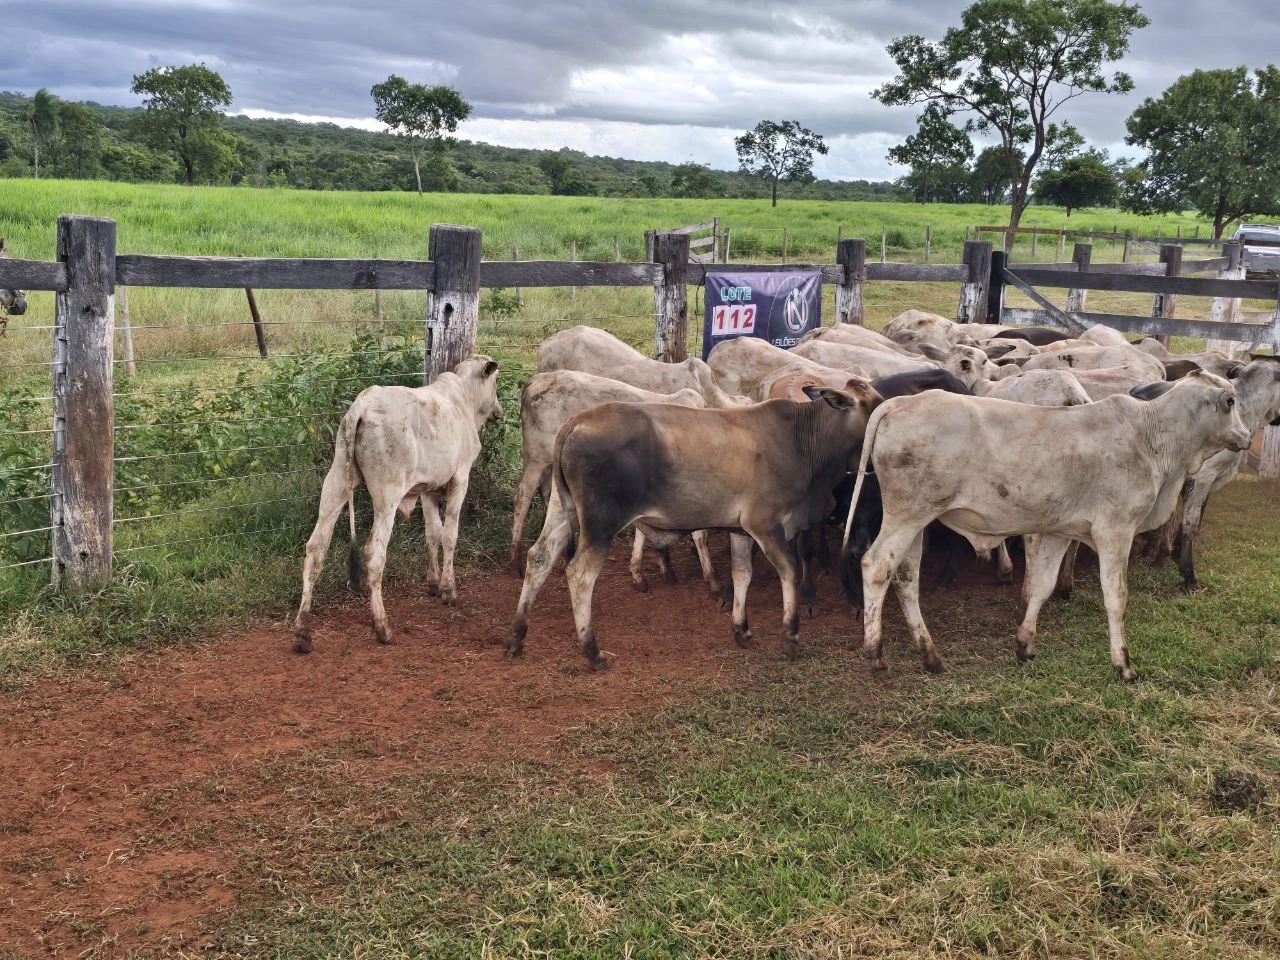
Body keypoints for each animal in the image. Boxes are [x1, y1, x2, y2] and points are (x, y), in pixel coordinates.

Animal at [292, 356, 502, 653]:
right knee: (374, 554)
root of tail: (362, 406)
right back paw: (382, 627)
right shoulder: (460, 478)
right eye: (496, 380)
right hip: (386, 496)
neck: (463, 399)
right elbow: (449, 535)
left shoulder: (427, 489)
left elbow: (432, 534)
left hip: (336, 484)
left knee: (315, 549)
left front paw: (433, 584)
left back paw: (302, 632)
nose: (498, 411)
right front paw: (448, 590)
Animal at [507, 383, 883, 668]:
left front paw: (742, 630)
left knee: (539, 558)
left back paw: (517, 634)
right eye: (876, 406)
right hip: (601, 522)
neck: (802, 441)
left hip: (561, 508)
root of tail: (577, 422)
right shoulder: (766, 524)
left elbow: (742, 575)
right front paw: (790, 634)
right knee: (580, 574)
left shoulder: (741, 531)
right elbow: (789, 571)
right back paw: (592, 651)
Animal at [841, 371, 1251, 680]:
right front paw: (1123, 664)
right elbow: (1116, 597)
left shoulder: (1059, 531)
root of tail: (898, 403)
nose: (1247, 437)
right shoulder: (1114, 531)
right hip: (906, 515)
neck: (1152, 438)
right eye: (1231, 401)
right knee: (875, 567)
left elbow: (1041, 585)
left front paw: (1025, 644)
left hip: (917, 522)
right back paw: (876, 654)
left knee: (905, 578)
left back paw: (930, 655)